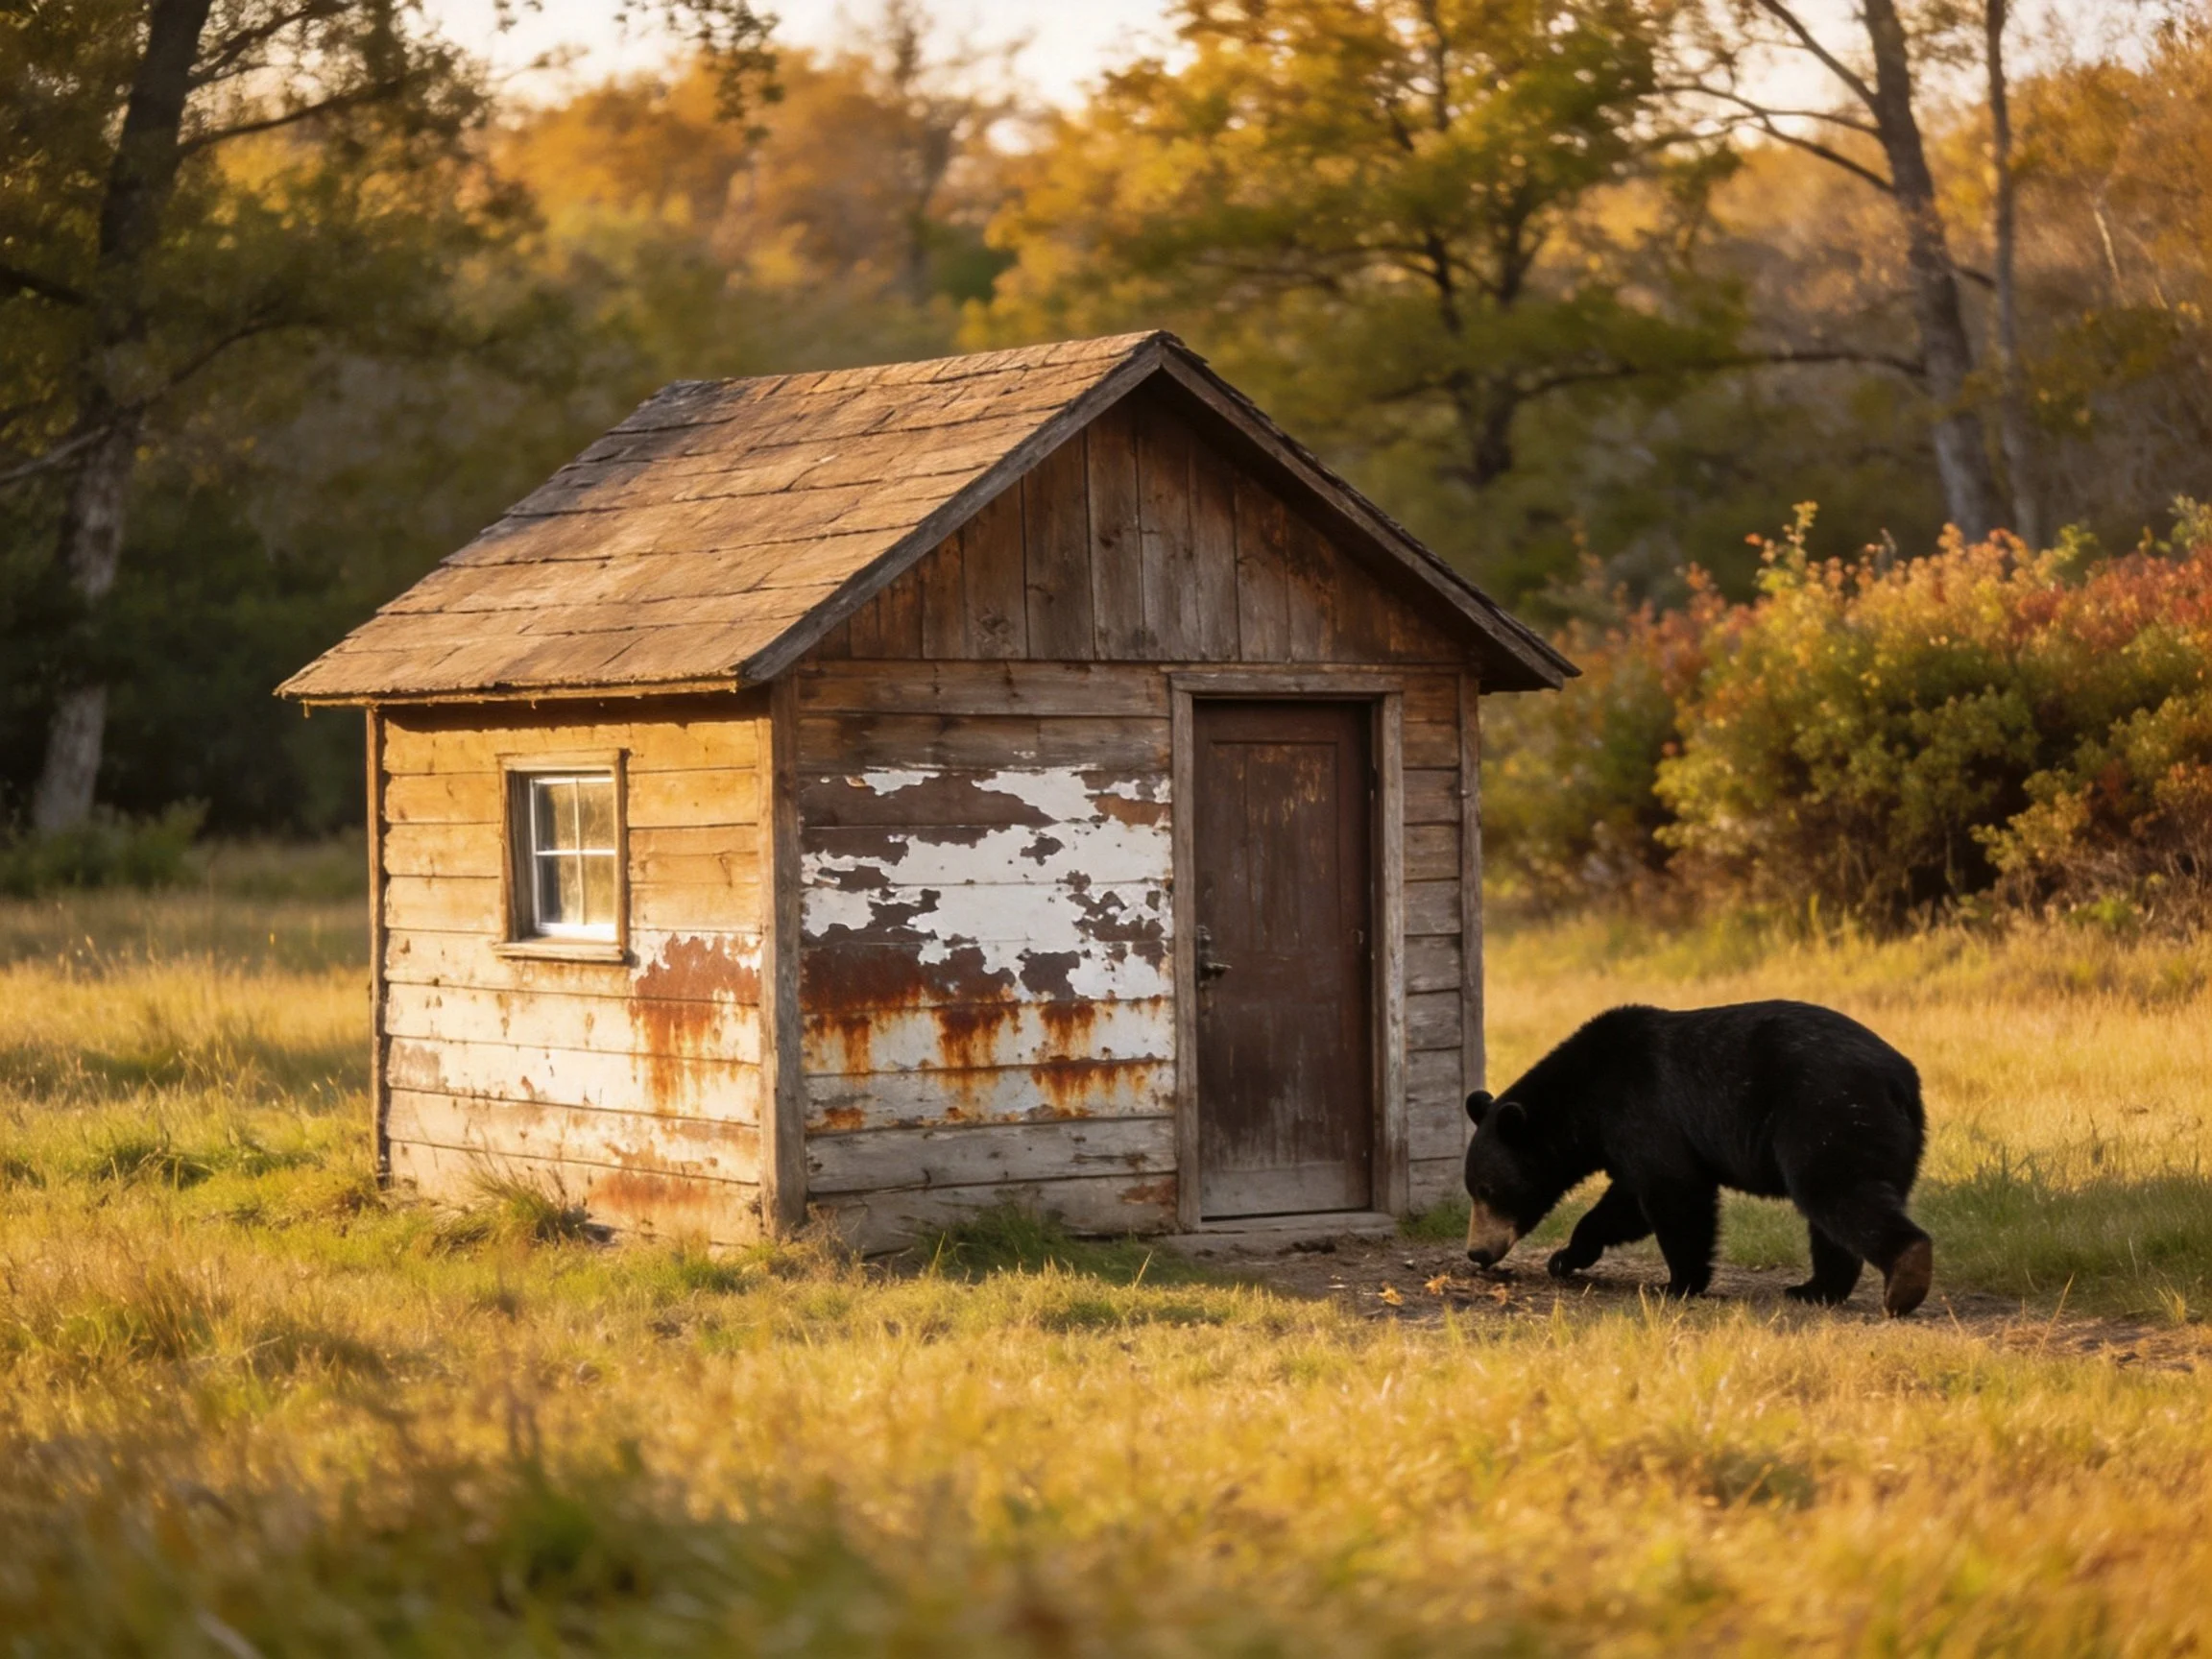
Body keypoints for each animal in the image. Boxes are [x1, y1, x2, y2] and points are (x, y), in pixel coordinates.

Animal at [1462, 1000, 1933, 1316]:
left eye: (1488, 1190)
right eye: (1474, 1190)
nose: (1476, 1252)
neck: (1585, 1101)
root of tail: (1902, 1081)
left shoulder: (1644, 1109)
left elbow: (1674, 1192)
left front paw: (1678, 1283)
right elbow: (1626, 1203)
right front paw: (1566, 1256)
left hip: (1827, 1116)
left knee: (1839, 1193)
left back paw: (1905, 1278)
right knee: (1832, 1218)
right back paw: (1814, 1289)